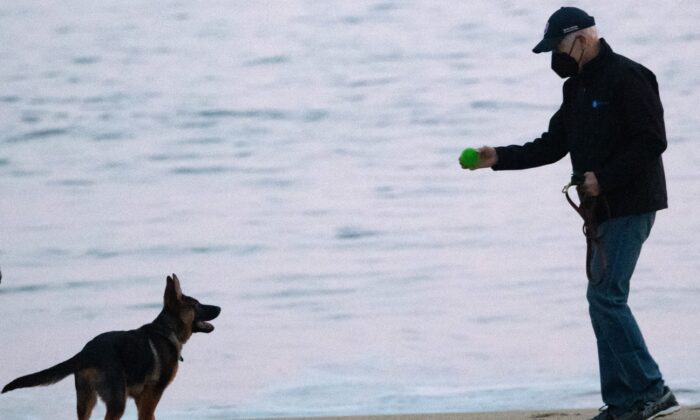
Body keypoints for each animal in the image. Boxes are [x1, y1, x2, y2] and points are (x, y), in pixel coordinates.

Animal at [1, 274, 220, 418]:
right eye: (197, 305)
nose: (219, 308)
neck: (168, 329)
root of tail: (86, 352)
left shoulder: (141, 399)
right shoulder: (152, 395)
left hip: (86, 401)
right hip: (116, 401)